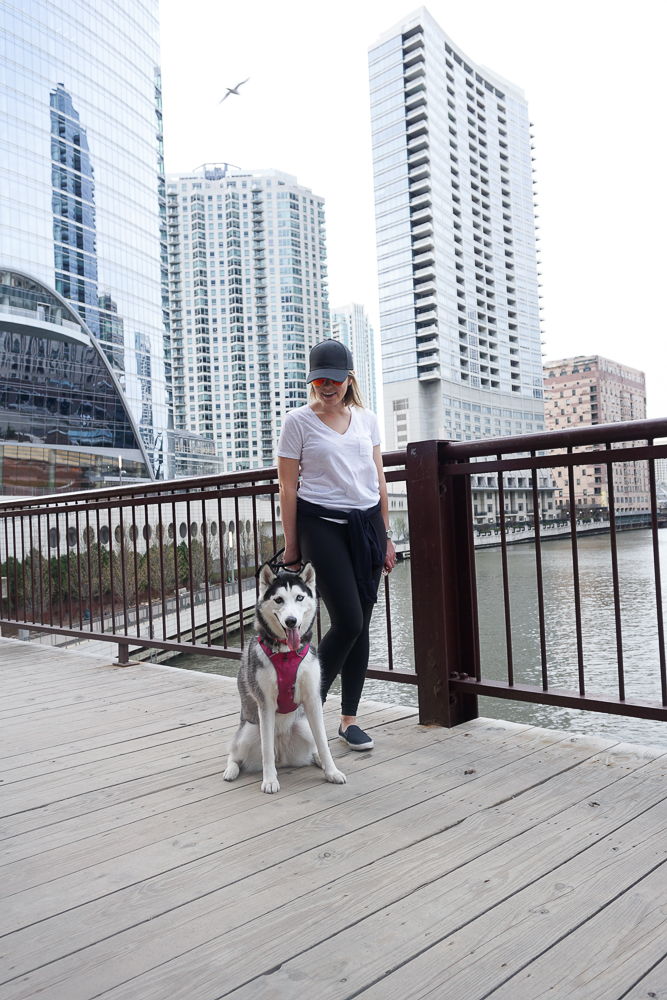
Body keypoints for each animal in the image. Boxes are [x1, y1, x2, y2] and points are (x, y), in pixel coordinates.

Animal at [226, 560, 350, 792]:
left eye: (299, 598)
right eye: (278, 600)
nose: (291, 621)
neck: (286, 654)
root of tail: (282, 755)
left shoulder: (312, 699)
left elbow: (323, 741)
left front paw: (332, 771)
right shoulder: (265, 704)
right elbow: (266, 748)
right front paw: (269, 780)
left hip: (303, 727)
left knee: (314, 747)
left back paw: (317, 759)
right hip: (247, 732)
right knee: (235, 752)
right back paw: (231, 770)